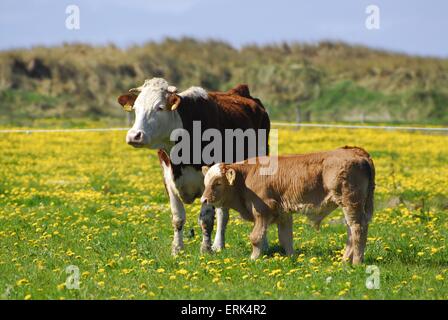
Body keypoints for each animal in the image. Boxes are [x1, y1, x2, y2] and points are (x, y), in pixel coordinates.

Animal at [117, 77, 270, 255]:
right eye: (135, 108)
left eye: (160, 107)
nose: (134, 136)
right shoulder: (168, 179)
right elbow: (178, 217)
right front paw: (177, 249)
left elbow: (206, 219)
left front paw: (205, 250)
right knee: (223, 212)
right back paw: (218, 245)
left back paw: (263, 245)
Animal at [200, 146, 374, 264]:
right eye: (206, 183)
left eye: (217, 183)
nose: (204, 200)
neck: (247, 175)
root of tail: (357, 152)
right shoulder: (283, 213)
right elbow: (285, 238)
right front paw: (292, 258)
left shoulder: (262, 211)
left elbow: (256, 237)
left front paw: (253, 258)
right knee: (352, 229)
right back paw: (345, 260)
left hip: (350, 202)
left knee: (357, 227)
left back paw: (356, 262)